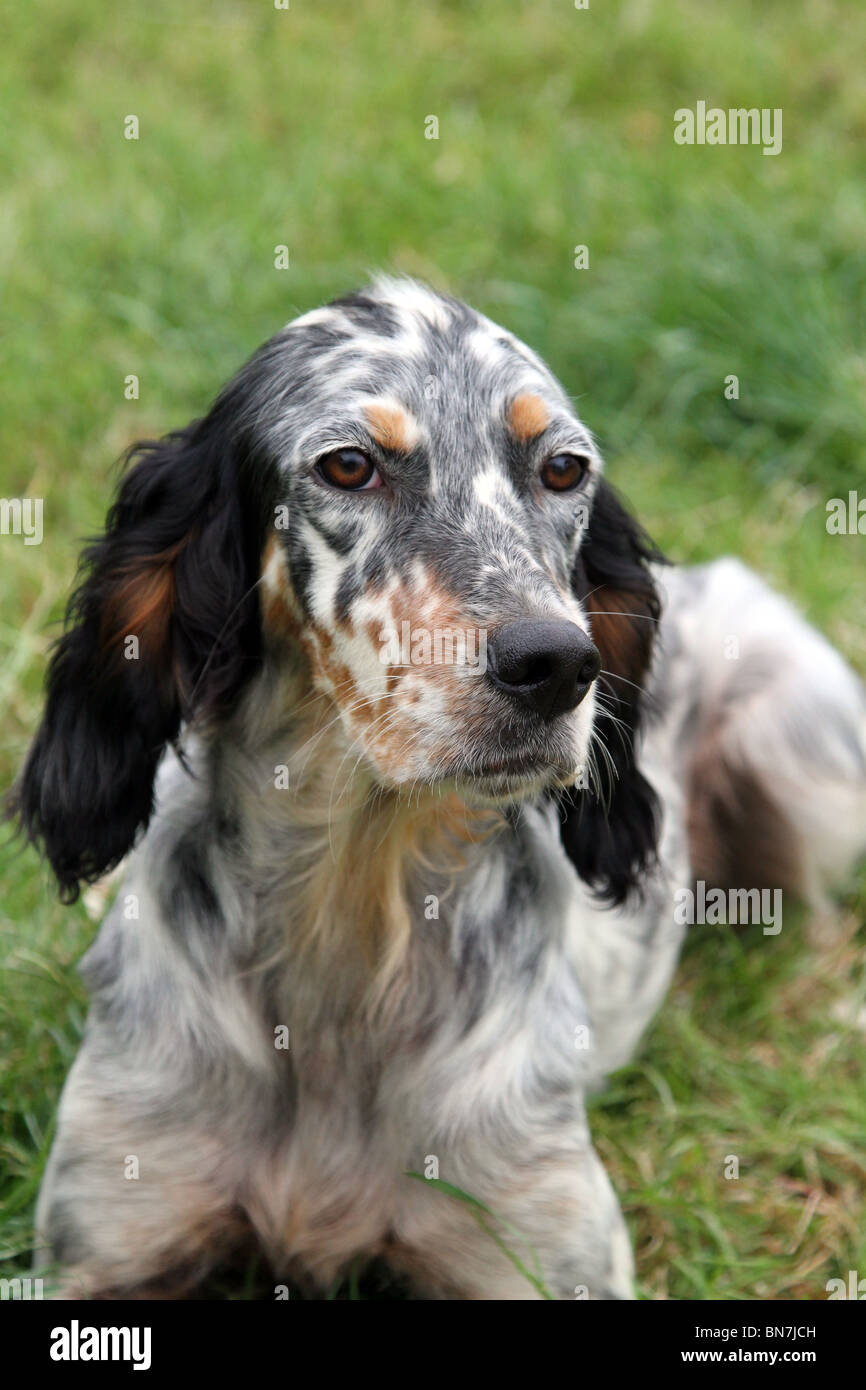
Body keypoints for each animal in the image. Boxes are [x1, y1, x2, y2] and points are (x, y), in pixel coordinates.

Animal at [8, 276, 866, 1295]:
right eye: (348, 466)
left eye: (563, 470)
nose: (557, 663)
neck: (352, 916)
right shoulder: (101, 1249)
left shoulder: (549, 1257)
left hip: (801, 733)